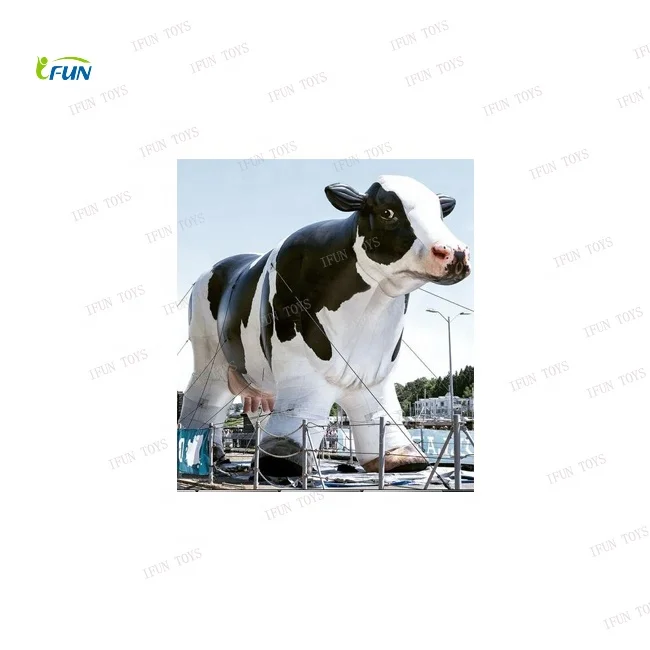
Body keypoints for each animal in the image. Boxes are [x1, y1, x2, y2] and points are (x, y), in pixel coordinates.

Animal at [179, 175, 471, 478]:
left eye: (439, 214)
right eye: (388, 212)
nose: (455, 253)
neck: (369, 309)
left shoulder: (375, 371)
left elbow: (379, 413)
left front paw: (400, 457)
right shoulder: (299, 367)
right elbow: (302, 411)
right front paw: (282, 459)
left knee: (249, 407)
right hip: (208, 353)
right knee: (205, 398)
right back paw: (201, 456)